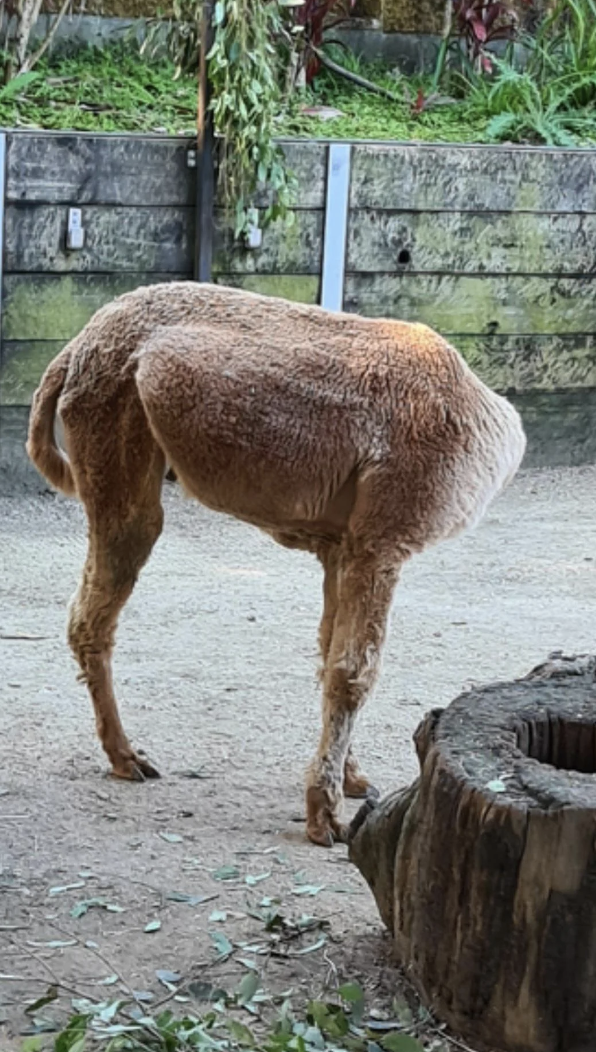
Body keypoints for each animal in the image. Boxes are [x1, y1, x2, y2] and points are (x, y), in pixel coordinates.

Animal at [27, 281, 526, 847]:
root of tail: (74, 348)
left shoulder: (342, 546)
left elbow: (329, 655)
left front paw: (351, 778)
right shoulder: (383, 539)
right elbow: (354, 673)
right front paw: (325, 815)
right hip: (118, 449)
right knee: (92, 617)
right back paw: (126, 755)